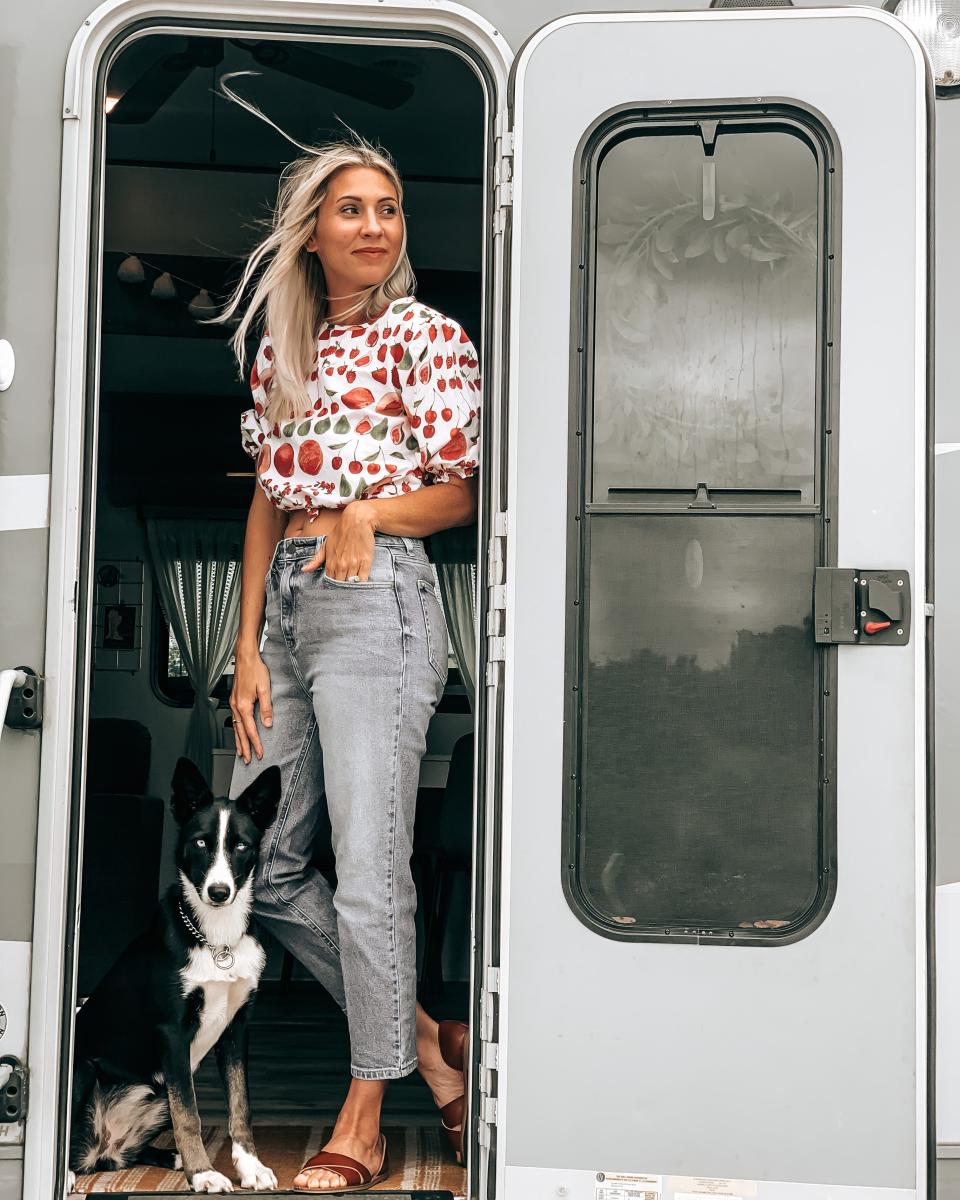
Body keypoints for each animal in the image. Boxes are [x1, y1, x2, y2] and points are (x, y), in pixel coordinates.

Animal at [69, 758, 280, 1190]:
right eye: (200, 843)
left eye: (240, 845)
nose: (219, 892)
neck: (217, 938)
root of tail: (101, 1146)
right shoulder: (171, 1032)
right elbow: (190, 1116)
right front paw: (203, 1174)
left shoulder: (236, 1028)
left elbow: (240, 1106)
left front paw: (249, 1167)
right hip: (88, 1069)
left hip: (160, 1087)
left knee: (121, 1156)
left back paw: (169, 1157)